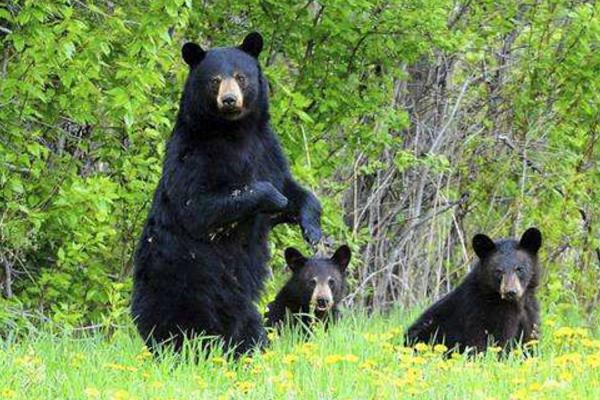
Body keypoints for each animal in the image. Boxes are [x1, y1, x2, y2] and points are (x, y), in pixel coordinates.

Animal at [129, 32, 322, 354]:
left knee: (249, 325)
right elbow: (200, 206)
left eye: (241, 77)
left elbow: (292, 188)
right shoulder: (193, 156)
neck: (235, 132)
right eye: (215, 80)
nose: (229, 100)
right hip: (184, 284)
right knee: (179, 325)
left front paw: (312, 227)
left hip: (240, 305)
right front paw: (273, 197)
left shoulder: (267, 149)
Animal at [406, 228, 540, 354]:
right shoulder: (483, 313)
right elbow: (494, 341)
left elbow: (530, 338)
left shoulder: (529, 311)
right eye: (498, 271)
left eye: (519, 269)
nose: (510, 292)